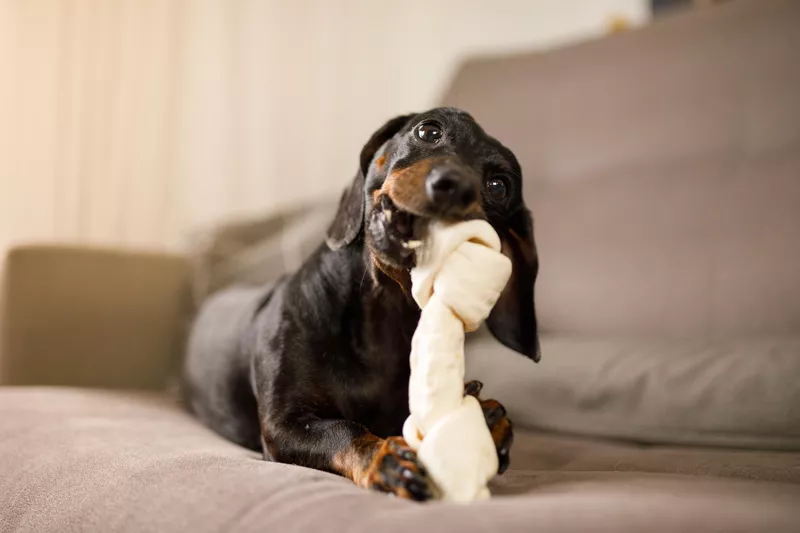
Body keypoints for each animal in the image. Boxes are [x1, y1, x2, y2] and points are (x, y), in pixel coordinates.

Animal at [184, 107, 540, 498]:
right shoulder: (283, 425)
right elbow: (344, 429)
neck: (382, 315)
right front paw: (384, 459)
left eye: (499, 187)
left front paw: (486, 417)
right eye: (428, 131)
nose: (455, 185)